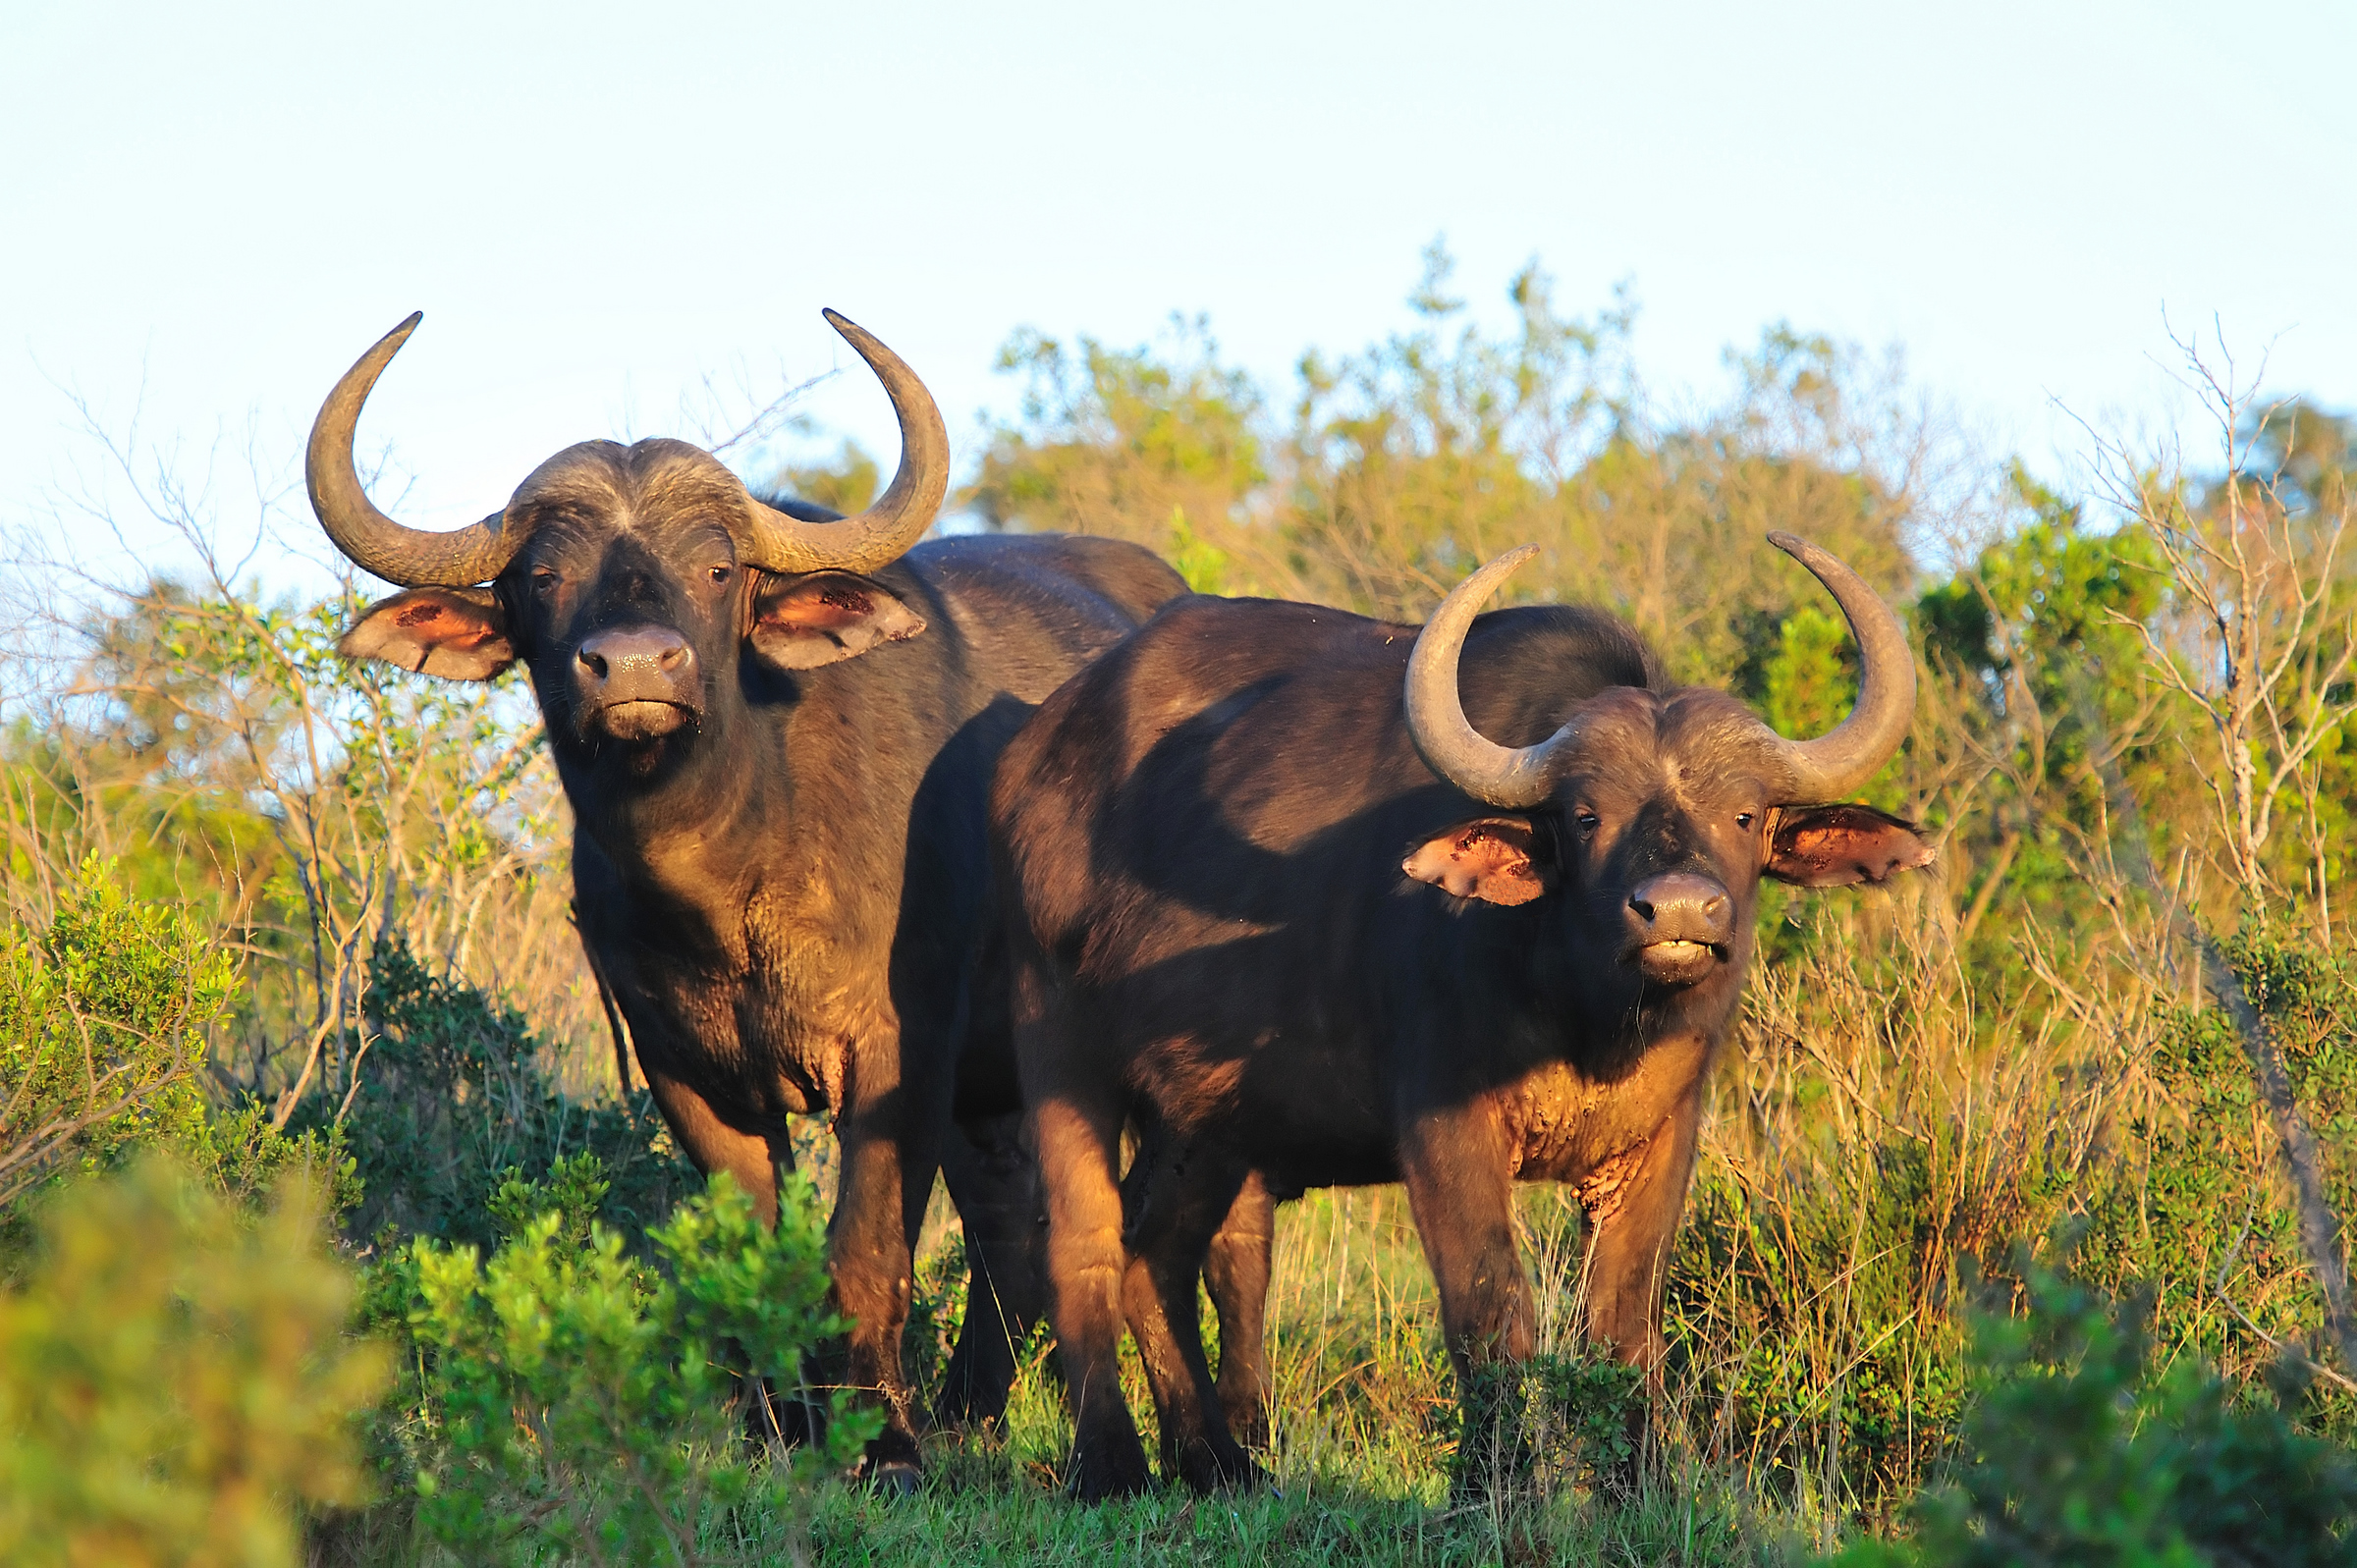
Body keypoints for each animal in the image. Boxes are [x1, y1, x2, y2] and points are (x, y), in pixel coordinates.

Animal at [307, 309, 1209, 1482]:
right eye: (544, 574)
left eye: (718, 565)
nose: (635, 667)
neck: (730, 878)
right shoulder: (684, 1072)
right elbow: (750, 1257)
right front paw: (778, 1427)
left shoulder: (897, 1053)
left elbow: (862, 1251)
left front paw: (881, 1448)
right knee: (1011, 1215)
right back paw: (968, 1412)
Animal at [991, 533, 1932, 1498]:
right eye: (1585, 816)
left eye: (1744, 813)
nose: (1675, 910)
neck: (1584, 1016)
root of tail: (1032, 760)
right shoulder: (1444, 1126)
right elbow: (1490, 1306)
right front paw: (1489, 1482)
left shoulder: (1661, 1136)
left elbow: (1622, 1318)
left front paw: (1638, 1486)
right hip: (1059, 1046)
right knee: (1083, 1243)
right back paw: (1111, 1465)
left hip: (1205, 1118)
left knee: (1158, 1253)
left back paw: (1218, 1461)